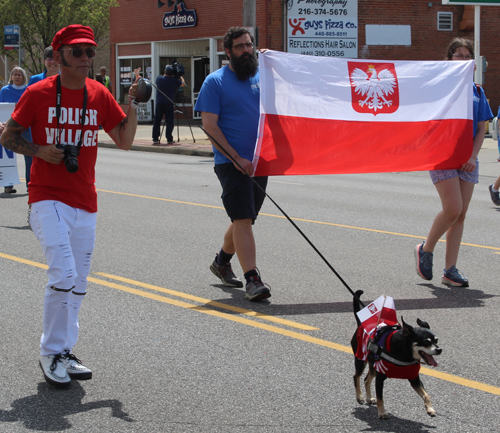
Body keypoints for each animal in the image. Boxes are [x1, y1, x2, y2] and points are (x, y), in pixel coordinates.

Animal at [352, 290, 442, 418]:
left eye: (436, 340)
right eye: (426, 342)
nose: (439, 349)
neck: (403, 354)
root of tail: (360, 324)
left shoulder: (414, 378)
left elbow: (426, 394)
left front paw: (430, 408)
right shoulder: (380, 378)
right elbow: (380, 398)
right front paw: (382, 413)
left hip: (373, 365)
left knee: (366, 379)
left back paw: (369, 398)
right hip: (361, 359)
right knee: (357, 376)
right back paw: (359, 397)